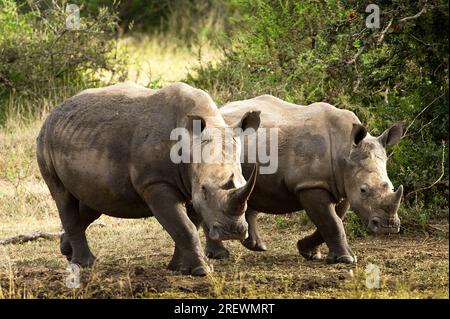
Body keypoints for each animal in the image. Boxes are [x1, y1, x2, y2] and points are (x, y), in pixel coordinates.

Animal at [36, 83, 260, 278]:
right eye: (205, 189)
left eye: (243, 183)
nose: (233, 231)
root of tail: (53, 112)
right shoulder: (155, 183)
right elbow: (184, 227)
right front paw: (201, 272)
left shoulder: (191, 186)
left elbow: (188, 224)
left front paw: (177, 268)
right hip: (45, 140)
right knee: (63, 198)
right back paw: (86, 263)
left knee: (92, 202)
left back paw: (66, 251)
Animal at [197, 95, 404, 264]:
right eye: (364, 190)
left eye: (392, 187)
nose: (387, 227)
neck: (345, 150)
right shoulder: (310, 185)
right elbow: (331, 222)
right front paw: (346, 259)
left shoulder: (341, 185)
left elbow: (332, 220)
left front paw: (310, 252)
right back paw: (219, 255)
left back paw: (257, 246)